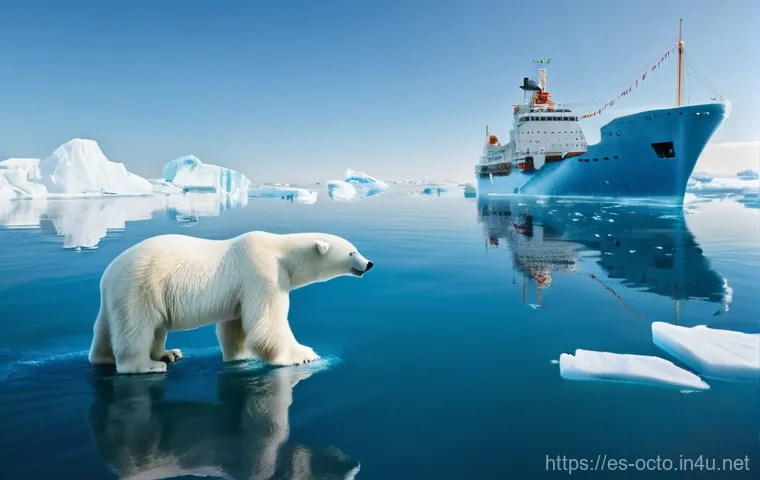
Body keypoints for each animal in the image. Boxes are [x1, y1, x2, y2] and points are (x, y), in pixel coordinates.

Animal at [87, 231, 374, 374]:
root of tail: (106, 275)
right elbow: (267, 324)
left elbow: (234, 325)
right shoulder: (262, 273)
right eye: (352, 252)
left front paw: (240, 357)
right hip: (141, 284)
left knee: (122, 328)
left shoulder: (240, 290)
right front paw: (303, 354)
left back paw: (163, 354)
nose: (369, 263)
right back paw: (147, 365)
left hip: (126, 294)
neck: (281, 252)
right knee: (137, 327)